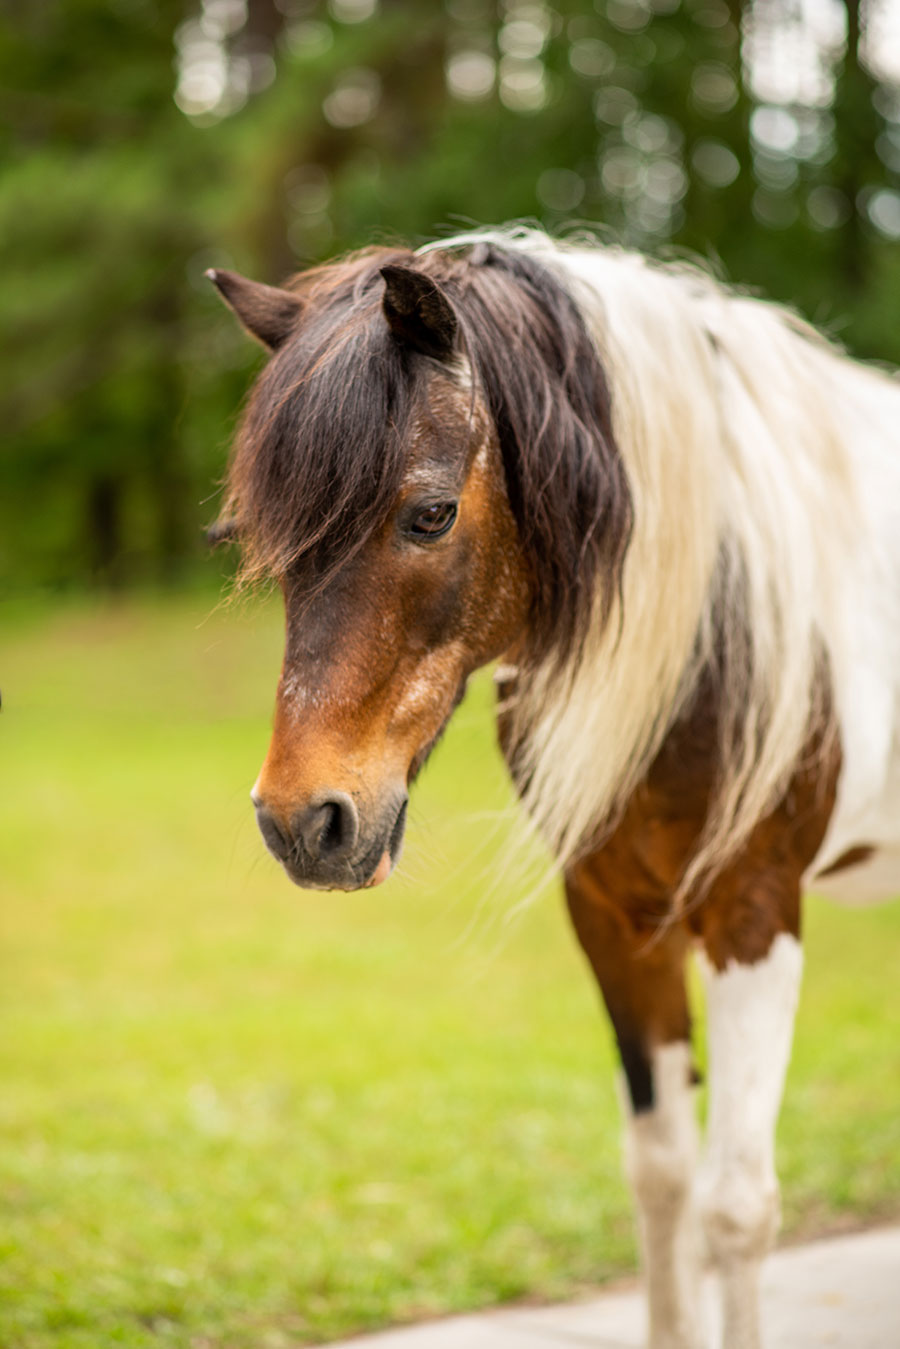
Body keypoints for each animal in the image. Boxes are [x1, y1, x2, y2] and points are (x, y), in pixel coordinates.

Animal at [207, 232, 900, 1349]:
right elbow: (661, 1175)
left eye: (431, 513)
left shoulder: (753, 908)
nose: (301, 821)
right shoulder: (614, 910)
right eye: (255, 537)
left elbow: (735, 1206)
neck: (716, 606)